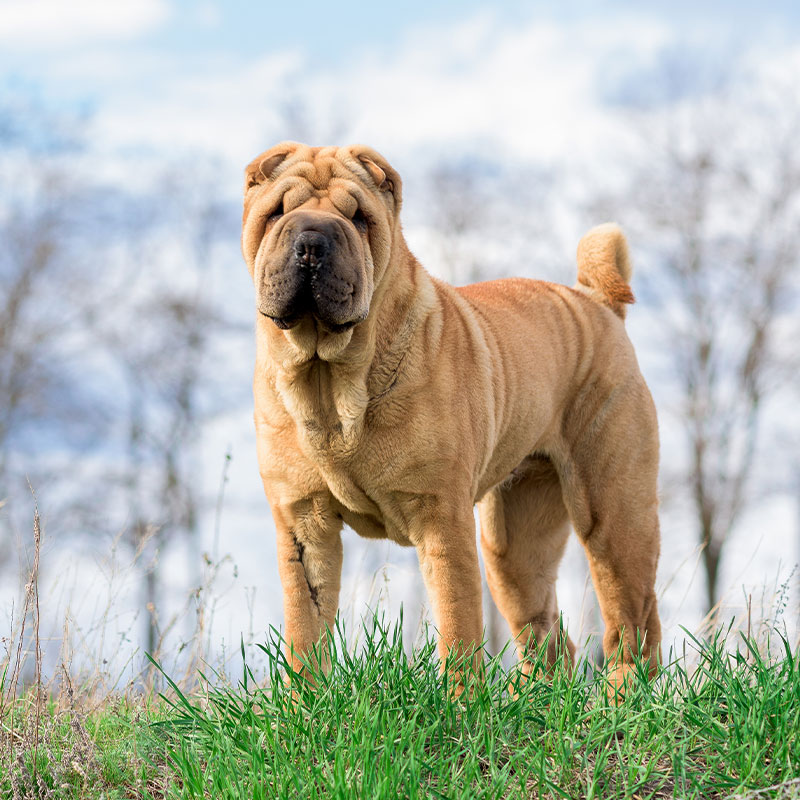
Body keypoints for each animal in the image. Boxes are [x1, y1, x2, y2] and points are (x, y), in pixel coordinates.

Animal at [242, 141, 664, 692]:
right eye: (276, 212)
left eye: (359, 218)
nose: (313, 240)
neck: (331, 383)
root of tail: (599, 303)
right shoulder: (304, 523)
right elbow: (304, 628)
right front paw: (303, 704)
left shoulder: (441, 517)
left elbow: (458, 623)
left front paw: (460, 702)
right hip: (513, 549)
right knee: (548, 635)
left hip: (613, 515)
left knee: (632, 623)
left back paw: (623, 699)